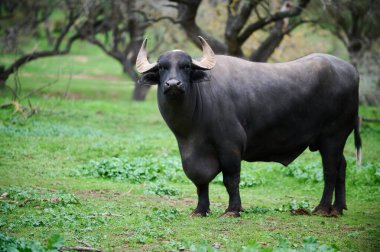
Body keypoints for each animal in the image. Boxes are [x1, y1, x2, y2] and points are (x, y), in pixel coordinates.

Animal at [135, 36, 360, 218]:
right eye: (162, 67)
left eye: (187, 67)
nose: (173, 84)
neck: (192, 128)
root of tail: (351, 71)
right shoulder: (192, 153)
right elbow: (200, 181)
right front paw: (200, 210)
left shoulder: (230, 146)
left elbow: (231, 179)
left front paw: (233, 210)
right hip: (334, 140)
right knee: (342, 166)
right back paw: (338, 208)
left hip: (333, 136)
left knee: (330, 170)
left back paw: (322, 208)